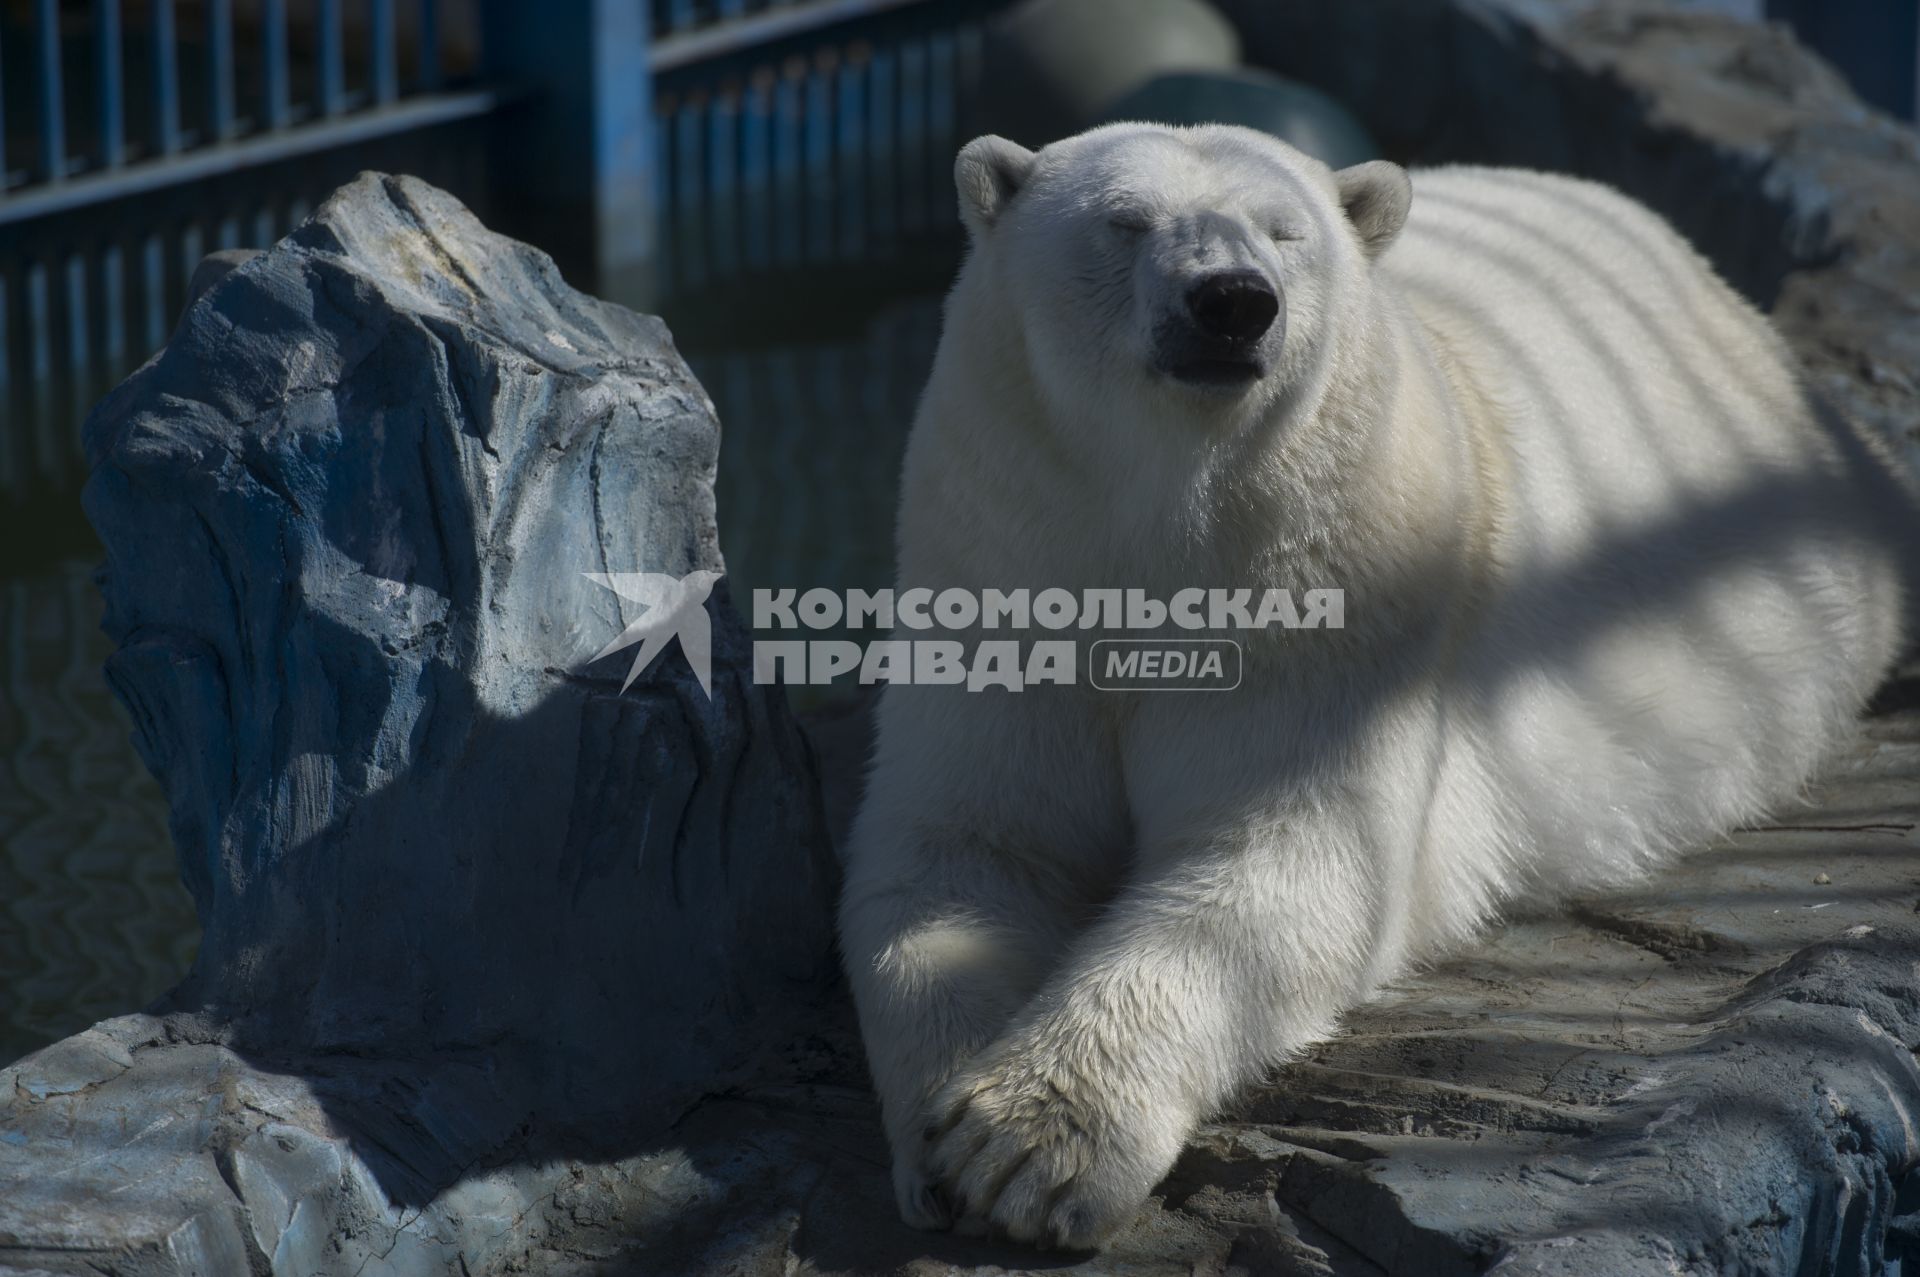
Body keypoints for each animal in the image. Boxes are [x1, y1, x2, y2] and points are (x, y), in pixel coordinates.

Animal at [833, 124, 1912, 1252]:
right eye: (1124, 221)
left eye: (1284, 231)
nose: (1232, 301)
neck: (1165, 520)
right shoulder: (1005, 561)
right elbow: (962, 849)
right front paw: (943, 1135)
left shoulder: (1342, 590)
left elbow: (1291, 860)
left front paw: (1027, 1145)